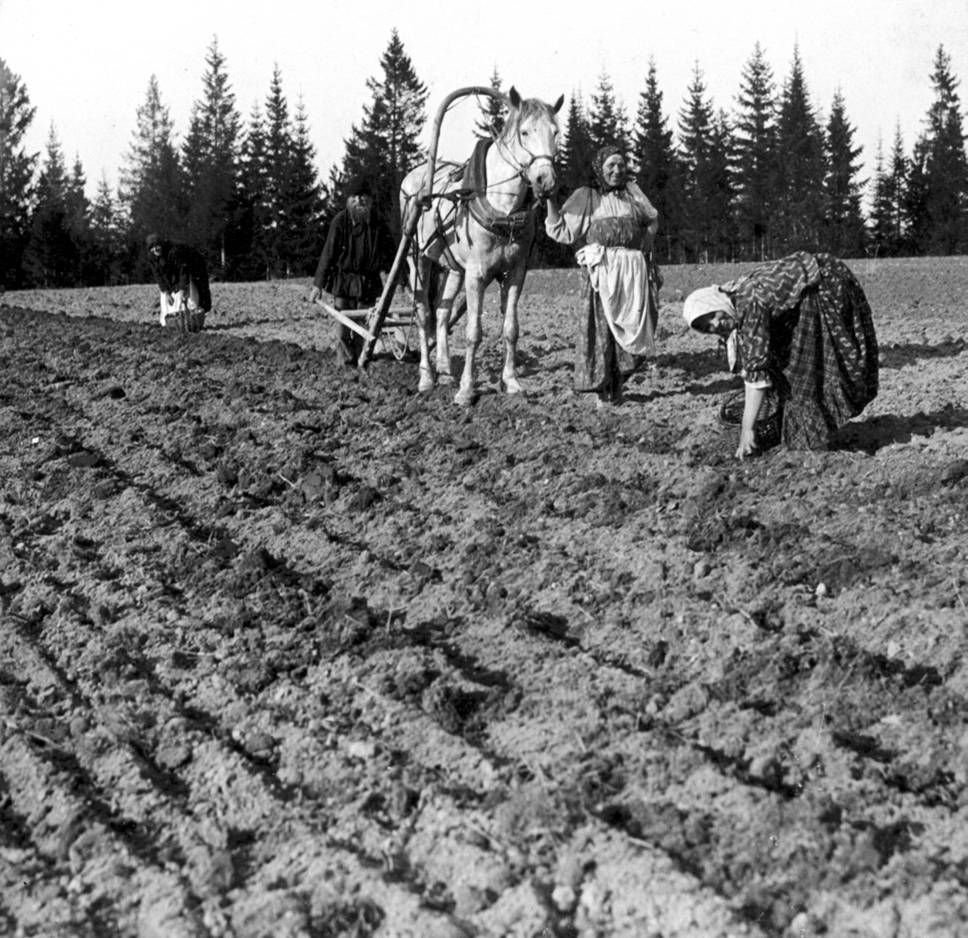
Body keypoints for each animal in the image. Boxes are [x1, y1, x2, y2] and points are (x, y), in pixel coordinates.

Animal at [400, 88, 568, 406]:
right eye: (525, 132)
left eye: (556, 132)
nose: (547, 181)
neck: (503, 209)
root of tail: (413, 178)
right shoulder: (476, 274)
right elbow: (473, 332)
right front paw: (467, 389)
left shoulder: (515, 273)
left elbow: (511, 328)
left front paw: (511, 382)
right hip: (418, 260)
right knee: (423, 314)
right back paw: (426, 377)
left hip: (454, 269)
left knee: (442, 314)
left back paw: (444, 370)